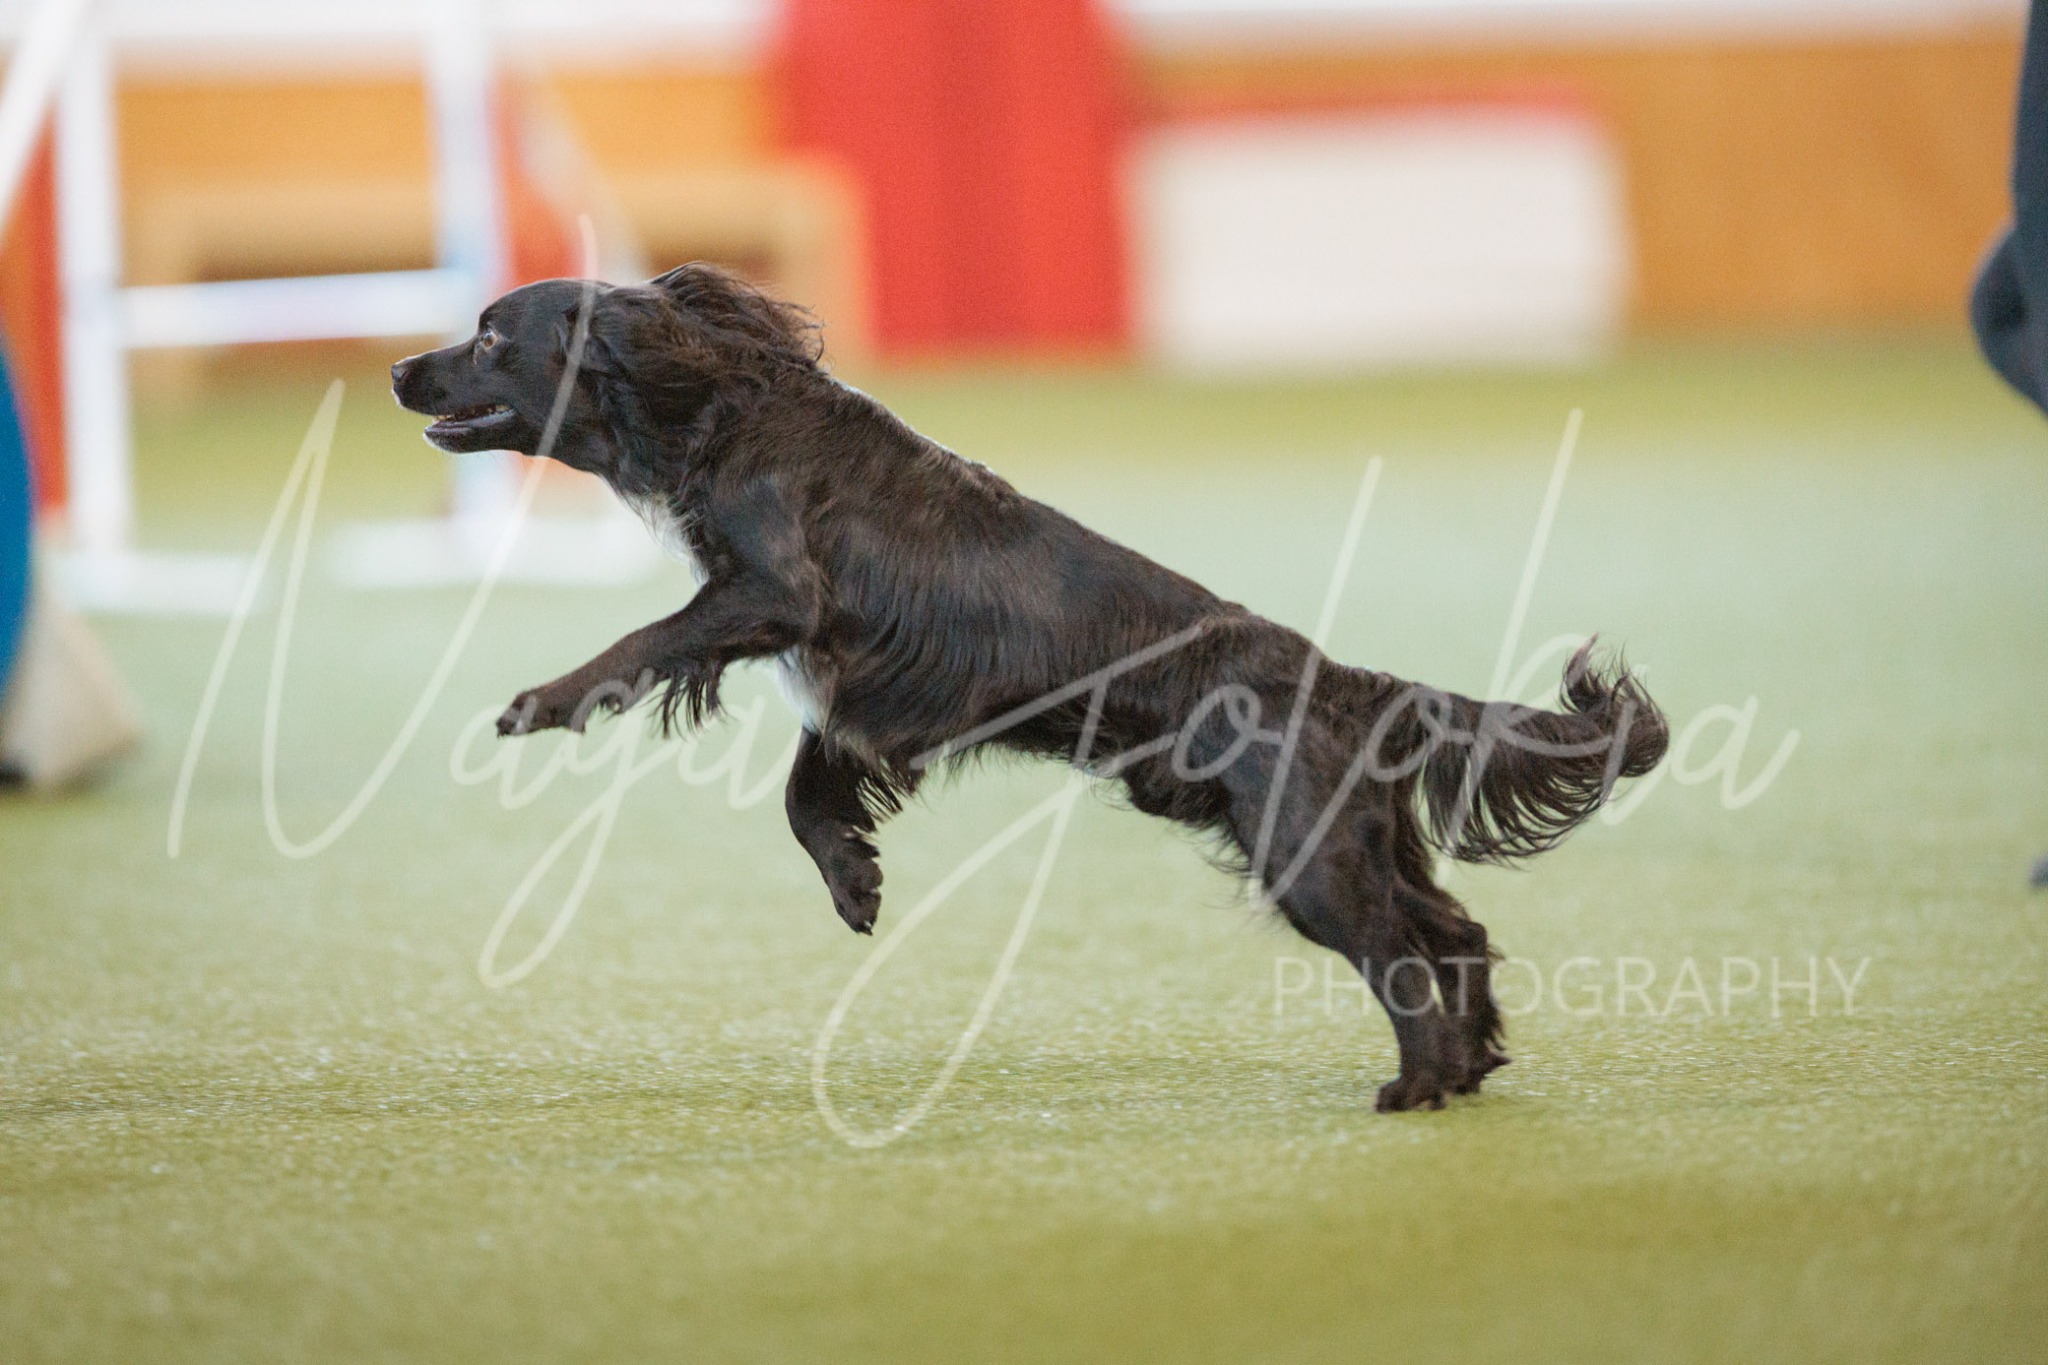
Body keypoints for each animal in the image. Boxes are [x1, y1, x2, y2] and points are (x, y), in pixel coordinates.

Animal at [391, 264, 1669, 1112]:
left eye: (490, 334)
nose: (400, 368)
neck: (723, 406)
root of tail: (1358, 684)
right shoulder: (853, 684)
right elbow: (805, 790)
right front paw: (855, 880)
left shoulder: (774, 599)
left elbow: (644, 644)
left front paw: (541, 702)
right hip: (1360, 839)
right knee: (1455, 930)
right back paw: (1473, 1063)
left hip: (1305, 856)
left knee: (1401, 950)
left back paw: (1418, 1086)